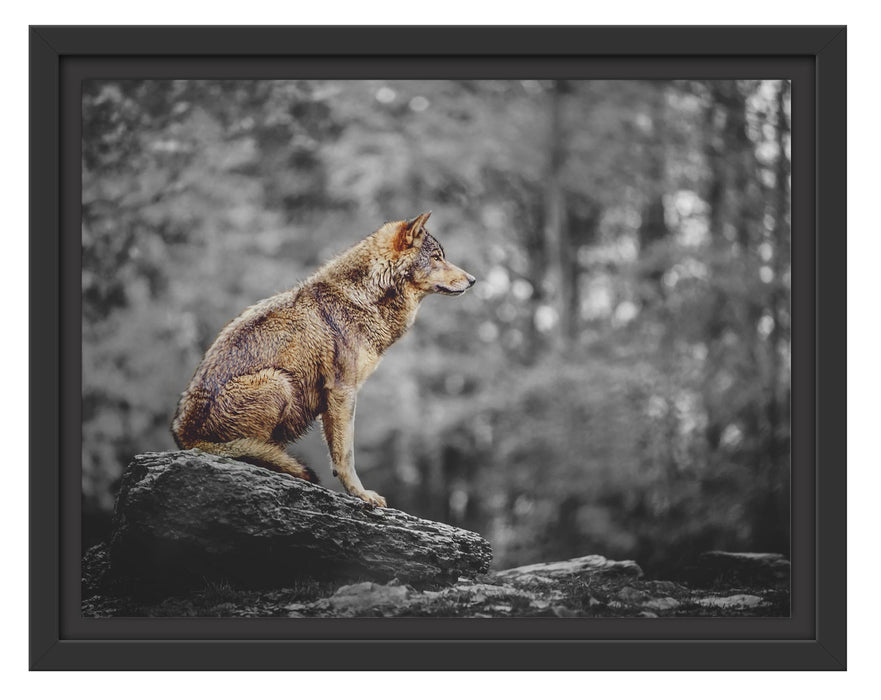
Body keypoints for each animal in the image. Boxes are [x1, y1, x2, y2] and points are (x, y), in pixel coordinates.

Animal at [171, 212, 476, 507]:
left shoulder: (335, 398)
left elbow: (339, 452)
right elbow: (345, 455)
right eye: (436, 257)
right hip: (278, 382)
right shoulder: (343, 391)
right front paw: (361, 495)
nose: (473, 280)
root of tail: (184, 435)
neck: (363, 298)